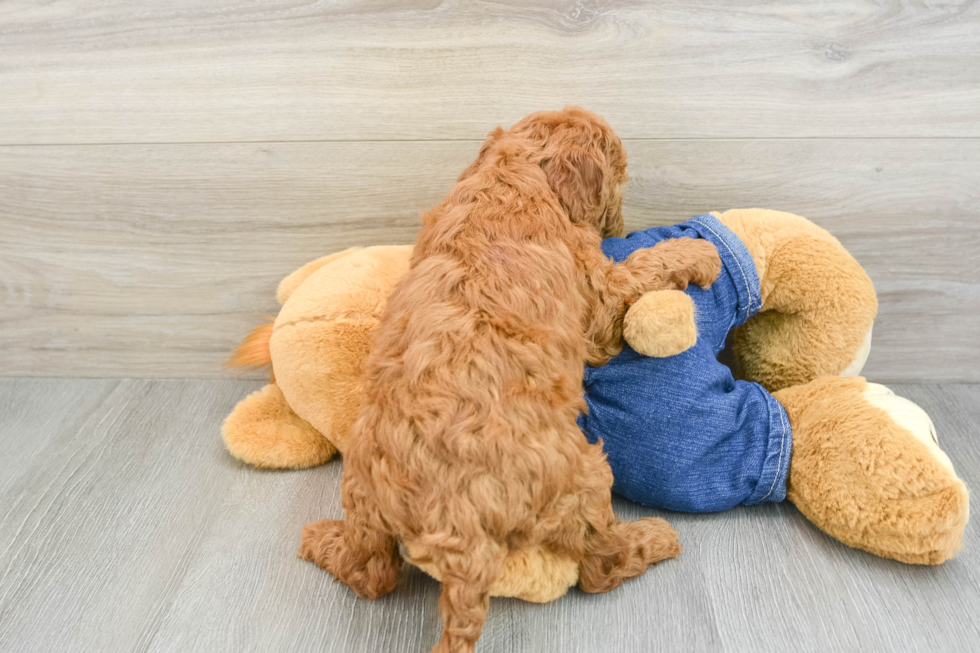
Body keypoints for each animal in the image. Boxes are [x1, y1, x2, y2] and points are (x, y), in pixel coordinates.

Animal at [298, 108, 720, 652]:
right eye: (620, 177)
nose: (620, 223)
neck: (512, 171)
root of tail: (459, 534)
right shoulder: (599, 303)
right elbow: (645, 266)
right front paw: (698, 253)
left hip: (363, 494)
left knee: (369, 573)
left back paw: (321, 540)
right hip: (585, 477)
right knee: (600, 568)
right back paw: (651, 538)